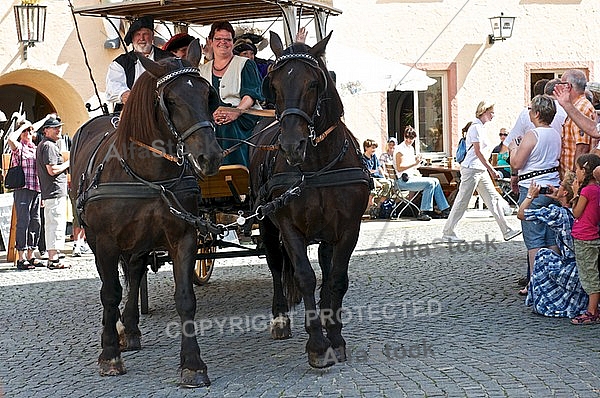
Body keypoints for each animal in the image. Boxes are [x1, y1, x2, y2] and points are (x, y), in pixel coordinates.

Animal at [68, 54, 223, 388]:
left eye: (208, 95)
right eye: (172, 100)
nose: (210, 157)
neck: (148, 175)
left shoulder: (184, 237)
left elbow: (185, 297)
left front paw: (193, 364)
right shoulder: (105, 243)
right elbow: (110, 293)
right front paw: (109, 354)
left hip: (139, 240)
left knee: (136, 270)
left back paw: (131, 328)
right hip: (98, 240)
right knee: (114, 284)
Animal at [248, 32, 370, 368]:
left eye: (314, 83)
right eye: (274, 86)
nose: (292, 145)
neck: (317, 166)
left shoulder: (348, 229)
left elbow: (336, 279)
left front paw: (335, 337)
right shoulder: (289, 227)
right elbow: (304, 276)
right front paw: (317, 344)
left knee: (326, 272)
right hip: (267, 225)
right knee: (277, 267)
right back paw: (281, 319)